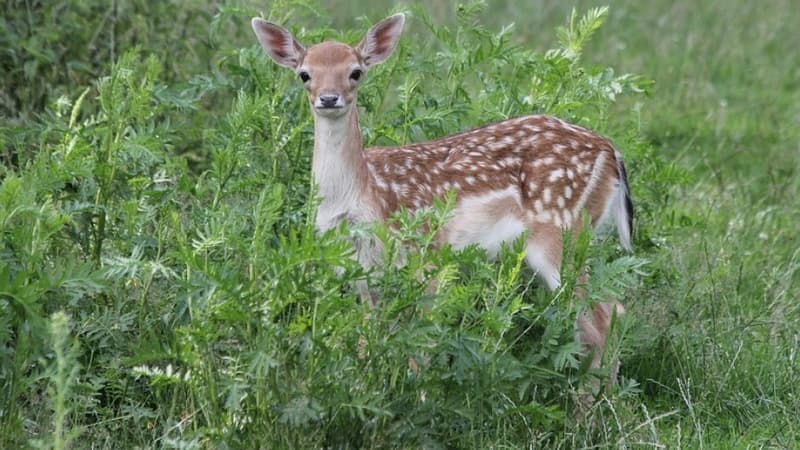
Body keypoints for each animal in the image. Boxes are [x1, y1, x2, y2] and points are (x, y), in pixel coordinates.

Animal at [250, 12, 632, 380]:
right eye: (304, 74)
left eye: (355, 72)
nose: (329, 98)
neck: (362, 196)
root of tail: (612, 152)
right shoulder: (362, 269)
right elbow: (366, 339)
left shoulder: (426, 252)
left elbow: (421, 343)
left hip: (563, 229)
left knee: (605, 315)